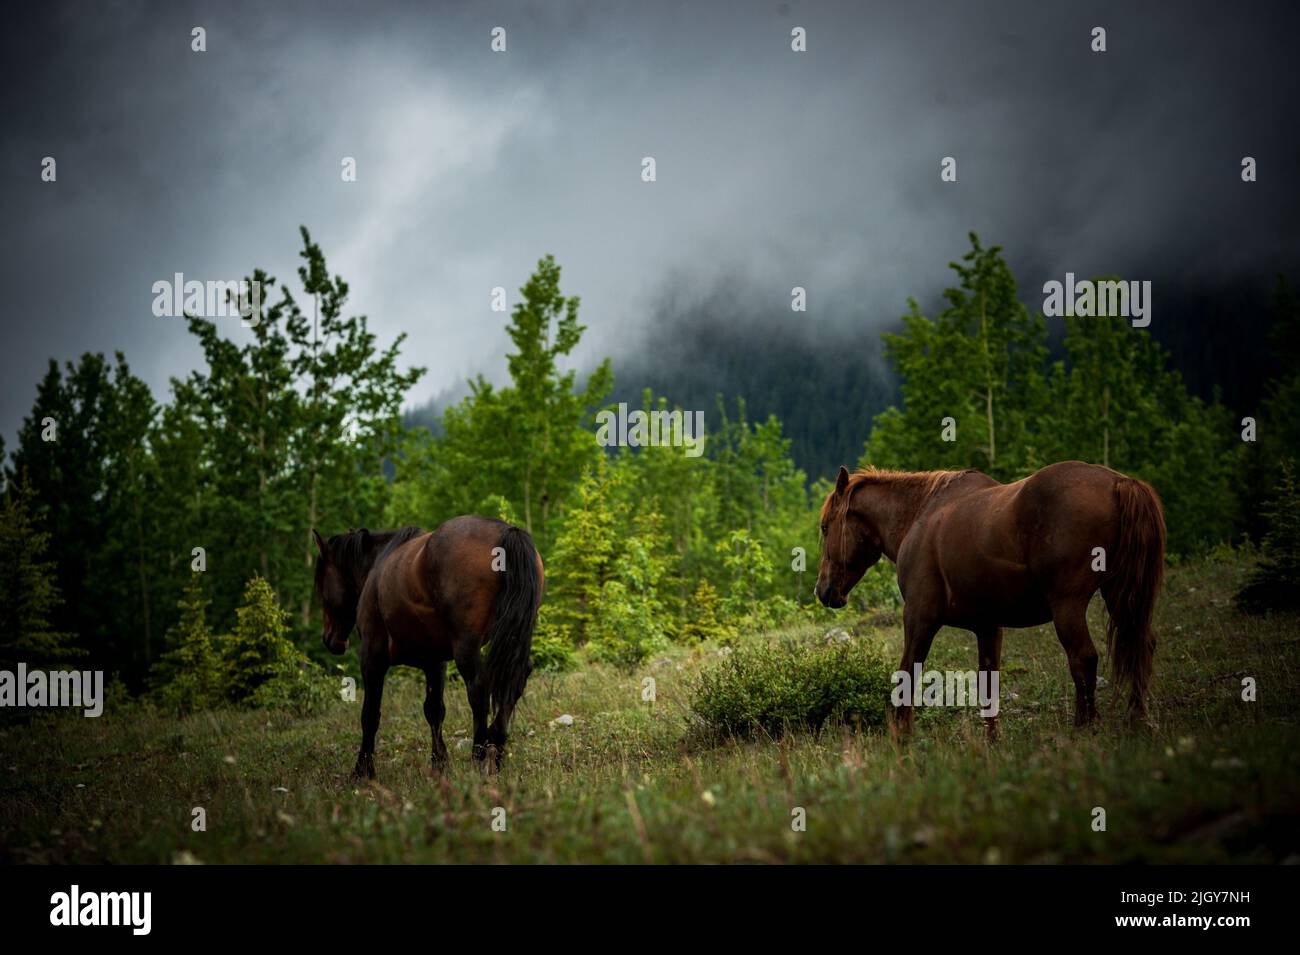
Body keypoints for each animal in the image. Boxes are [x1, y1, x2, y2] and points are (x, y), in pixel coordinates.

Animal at [312, 515, 544, 778]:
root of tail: (506, 531)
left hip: (466, 647)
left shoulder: (372, 656)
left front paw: (363, 770)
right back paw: (496, 746)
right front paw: (439, 763)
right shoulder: (435, 661)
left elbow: (370, 715)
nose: (330, 639)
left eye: (321, 583)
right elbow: (434, 710)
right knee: (515, 678)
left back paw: (479, 756)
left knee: (478, 690)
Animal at [814, 460, 1165, 739]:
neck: (920, 515)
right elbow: (988, 685)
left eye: (825, 527)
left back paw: (1084, 728)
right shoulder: (988, 627)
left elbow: (908, 675)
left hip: (1068, 604)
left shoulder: (919, 618)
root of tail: (1120, 483)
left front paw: (902, 738)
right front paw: (992, 742)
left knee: (1084, 658)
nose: (823, 590)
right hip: (1120, 596)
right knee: (1140, 643)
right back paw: (1139, 719)